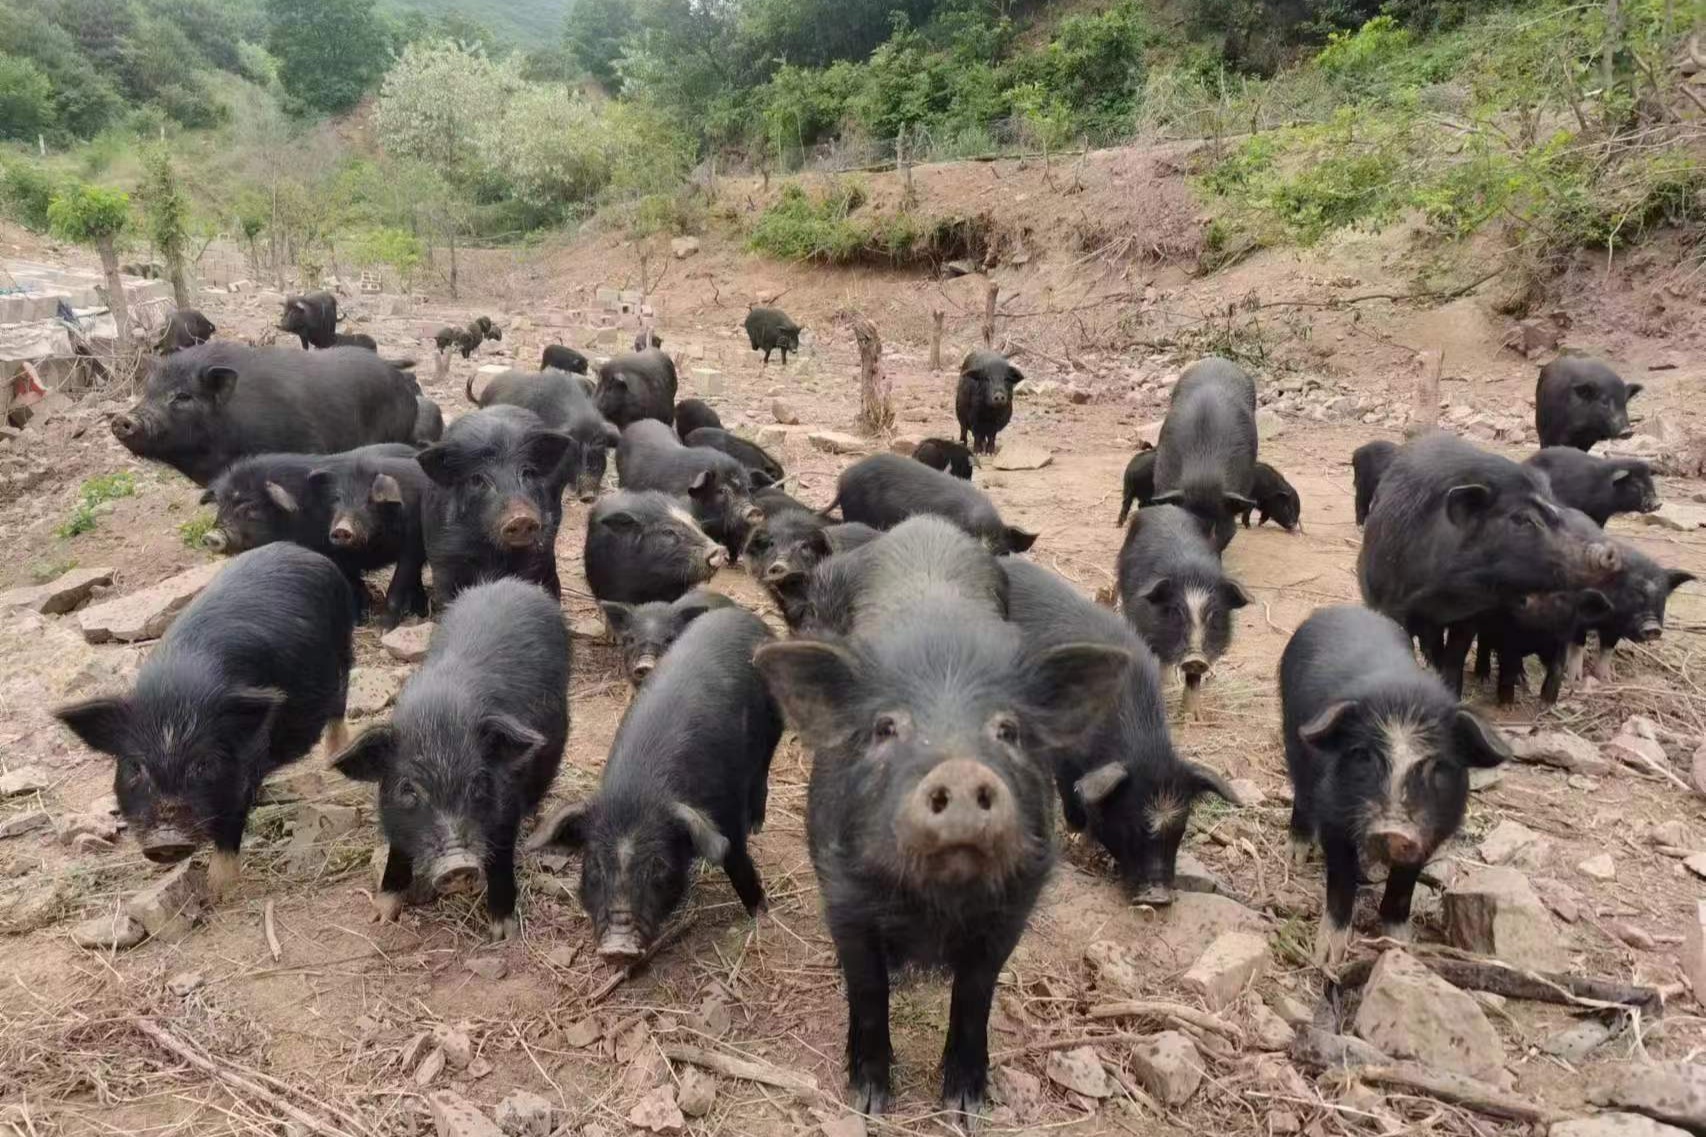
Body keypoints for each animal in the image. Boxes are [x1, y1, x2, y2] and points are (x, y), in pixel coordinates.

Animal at [528, 600, 781, 956]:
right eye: (593, 866)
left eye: (658, 866)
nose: (617, 947)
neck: (639, 787)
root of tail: (747, 617)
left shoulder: (727, 812)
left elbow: (737, 859)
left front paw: (762, 913)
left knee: (763, 770)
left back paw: (757, 824)